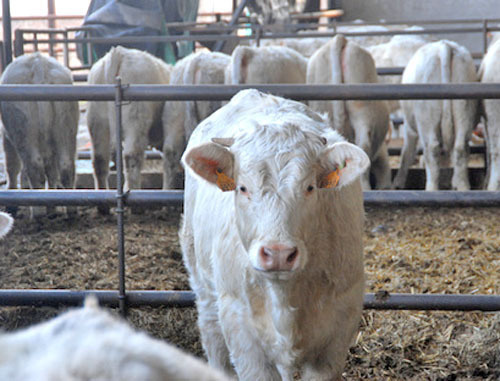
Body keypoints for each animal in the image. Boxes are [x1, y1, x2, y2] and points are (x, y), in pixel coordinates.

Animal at [0, 51, 79, 217]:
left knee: (34, 166)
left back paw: (37, 212)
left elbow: (12, 166)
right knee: (65, 165)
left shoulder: (6, 136)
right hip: (66, 127)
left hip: (23, 130)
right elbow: (52, 170)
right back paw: (69, 210)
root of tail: (38, 64)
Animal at [180, 88, 368, 378]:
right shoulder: (240, 329)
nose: (278, 254)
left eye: (310, 187)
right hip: (204, 286)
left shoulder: (339, 330)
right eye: (242, 188)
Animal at [392, 39, 478, 190]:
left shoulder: (409, 127)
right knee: (460, 147)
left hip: (427, 119)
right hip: (464, 110)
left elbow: (407, 152)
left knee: (432, 149)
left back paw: (431, 187)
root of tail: (443, 46)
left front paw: (398, 182)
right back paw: (462, 186)